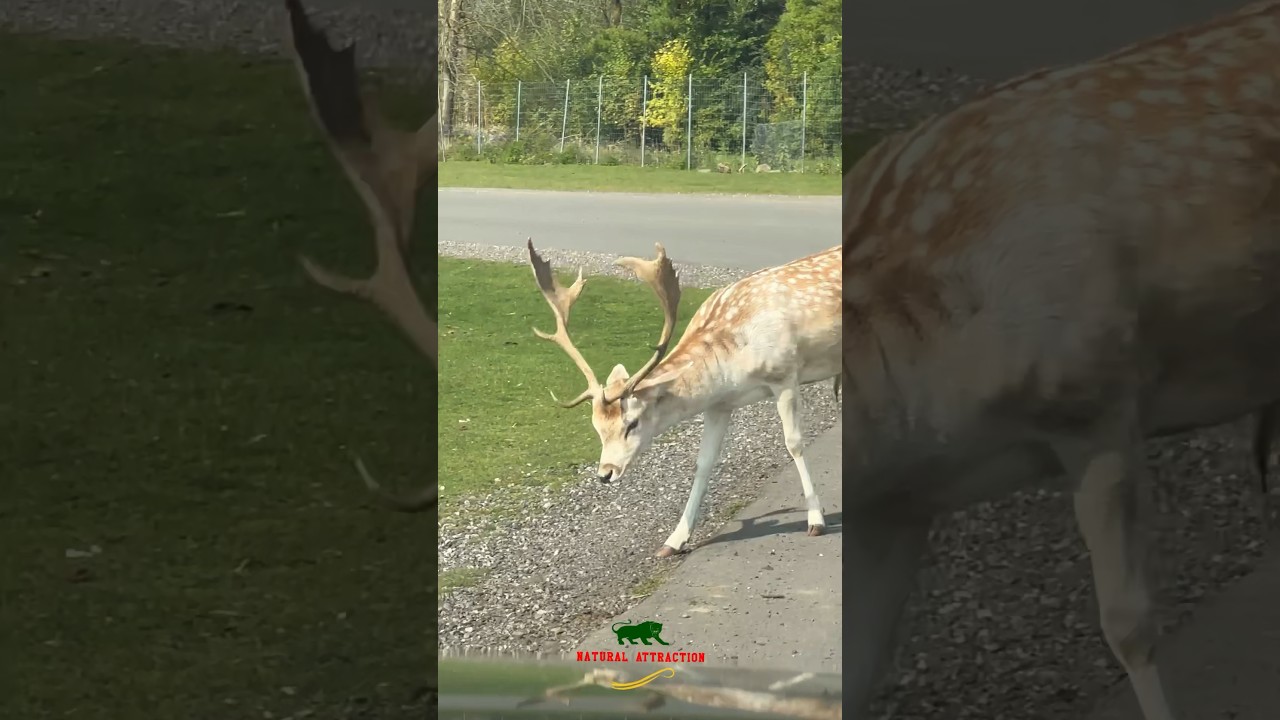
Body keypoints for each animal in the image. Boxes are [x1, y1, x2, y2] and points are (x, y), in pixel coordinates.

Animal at [525, 239, 841, 557]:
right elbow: (703, 462)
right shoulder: (719, 404)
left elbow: (794, 444)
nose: (605, 473)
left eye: (632, 423)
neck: (733, 365)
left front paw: (816, 520)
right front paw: (674, 541)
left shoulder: (784, 375)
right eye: (596, 428)